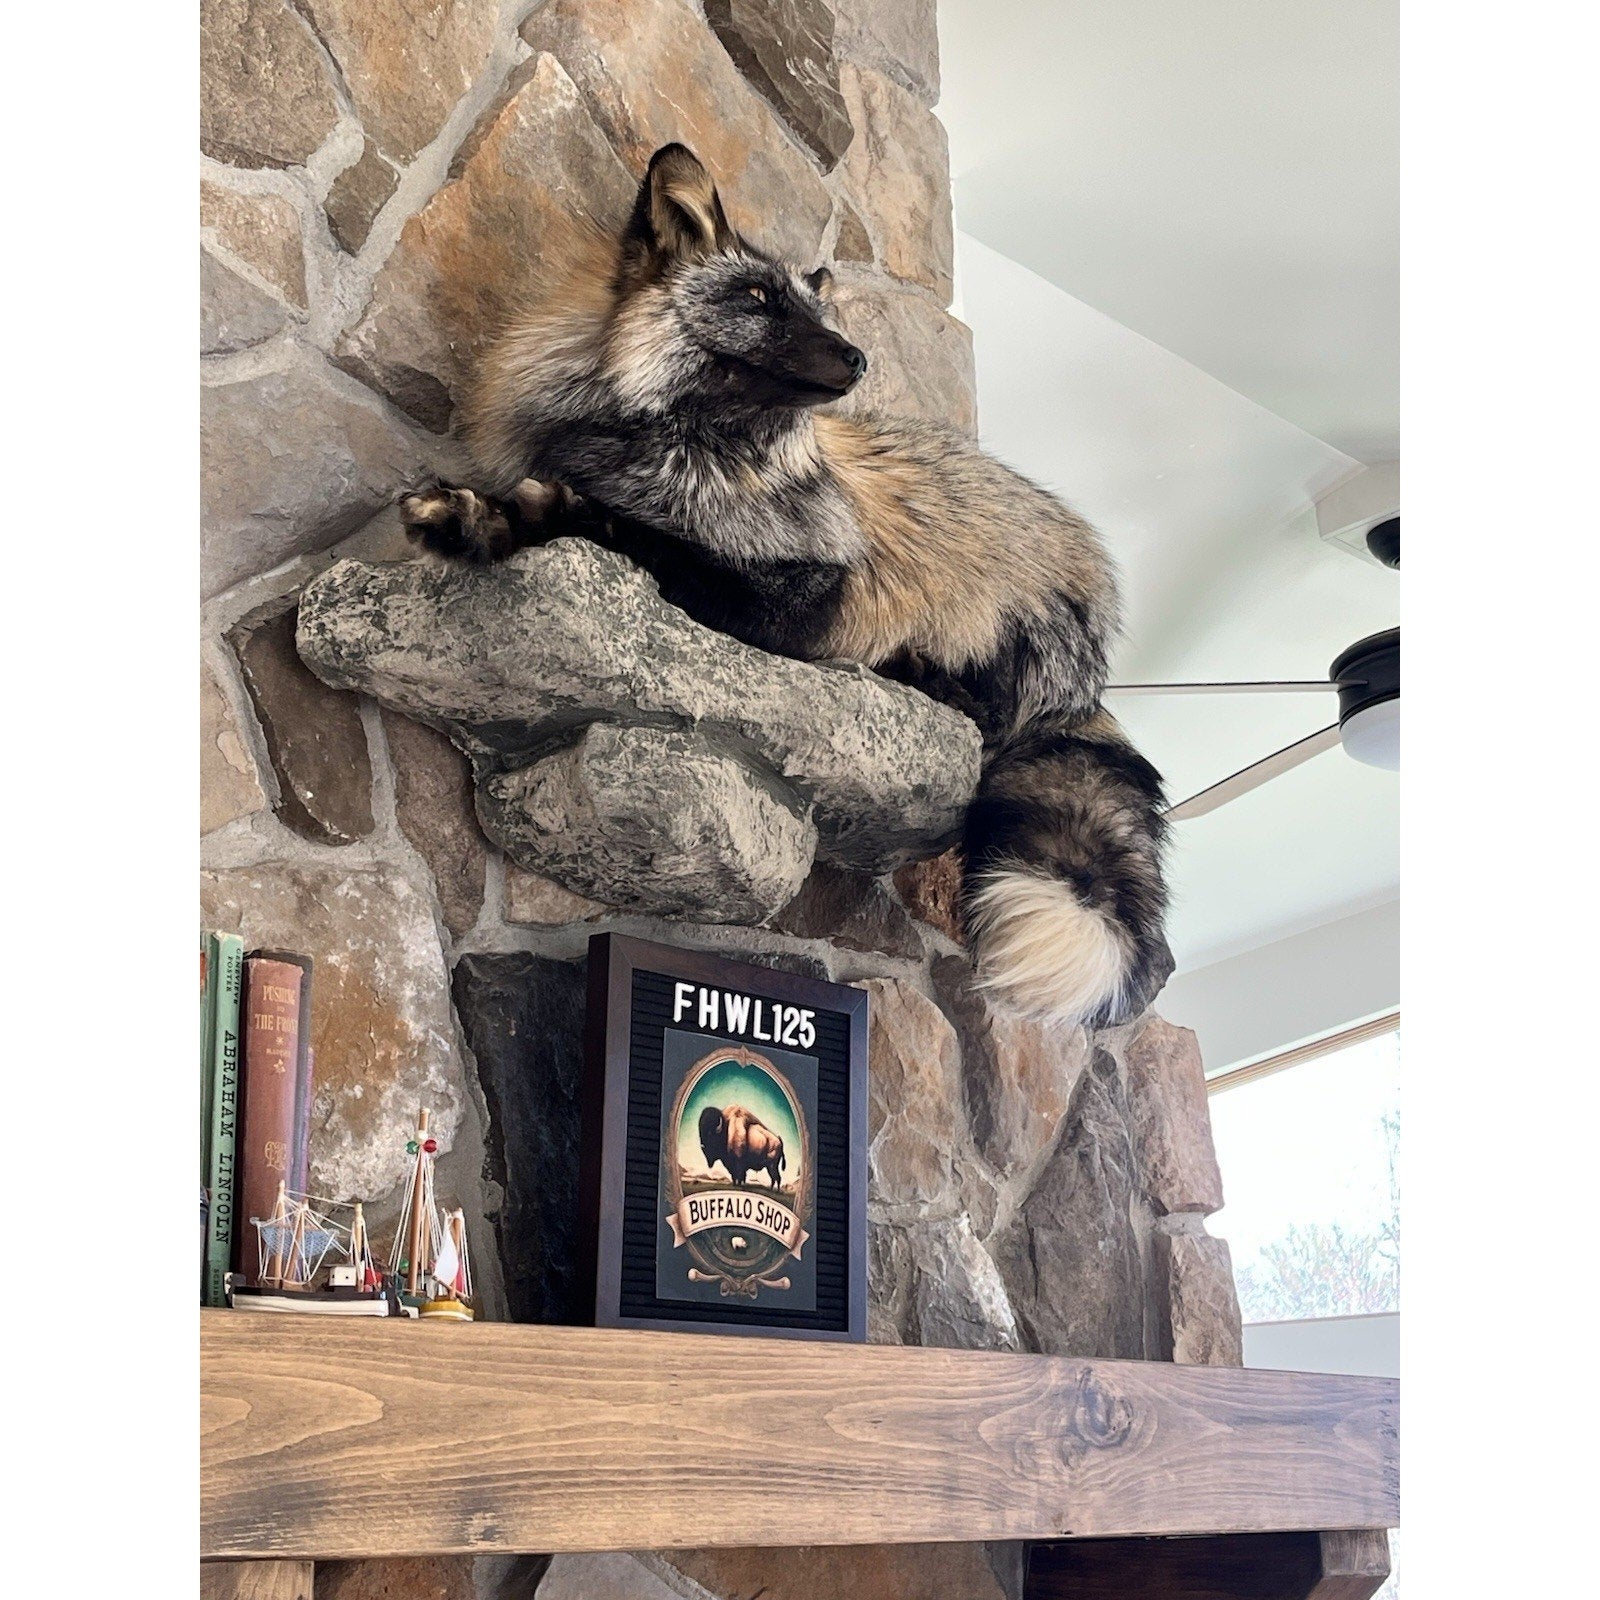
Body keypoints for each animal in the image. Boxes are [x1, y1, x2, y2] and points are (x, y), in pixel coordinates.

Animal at [401, 143, 1172, 1027]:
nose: (858, 357)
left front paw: (540, 516)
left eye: (818, 313)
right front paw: (475, 518)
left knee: (988, 712)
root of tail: (1097, 671)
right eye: (758, 300)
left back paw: (931, 680)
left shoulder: (808, 592)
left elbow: (644, 542)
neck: (680, 462)